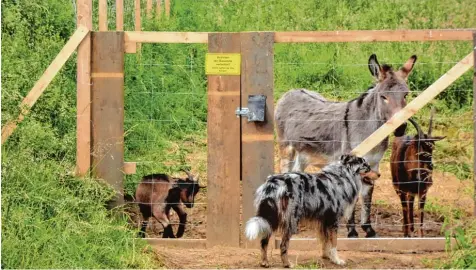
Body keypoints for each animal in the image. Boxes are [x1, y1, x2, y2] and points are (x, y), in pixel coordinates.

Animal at [245, 154, 380, 268]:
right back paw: (287, 264)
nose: (379, 175)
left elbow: (325, 242)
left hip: (270, 218)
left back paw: (264, 262)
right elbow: (334, 243)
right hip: (291, 221)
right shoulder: (333, 221)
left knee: (264, 241)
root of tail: (274, 183)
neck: (343, 177)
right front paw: (337, 260)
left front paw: (327, 257)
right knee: (283, 245)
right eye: (367, 168)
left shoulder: (323, 221)